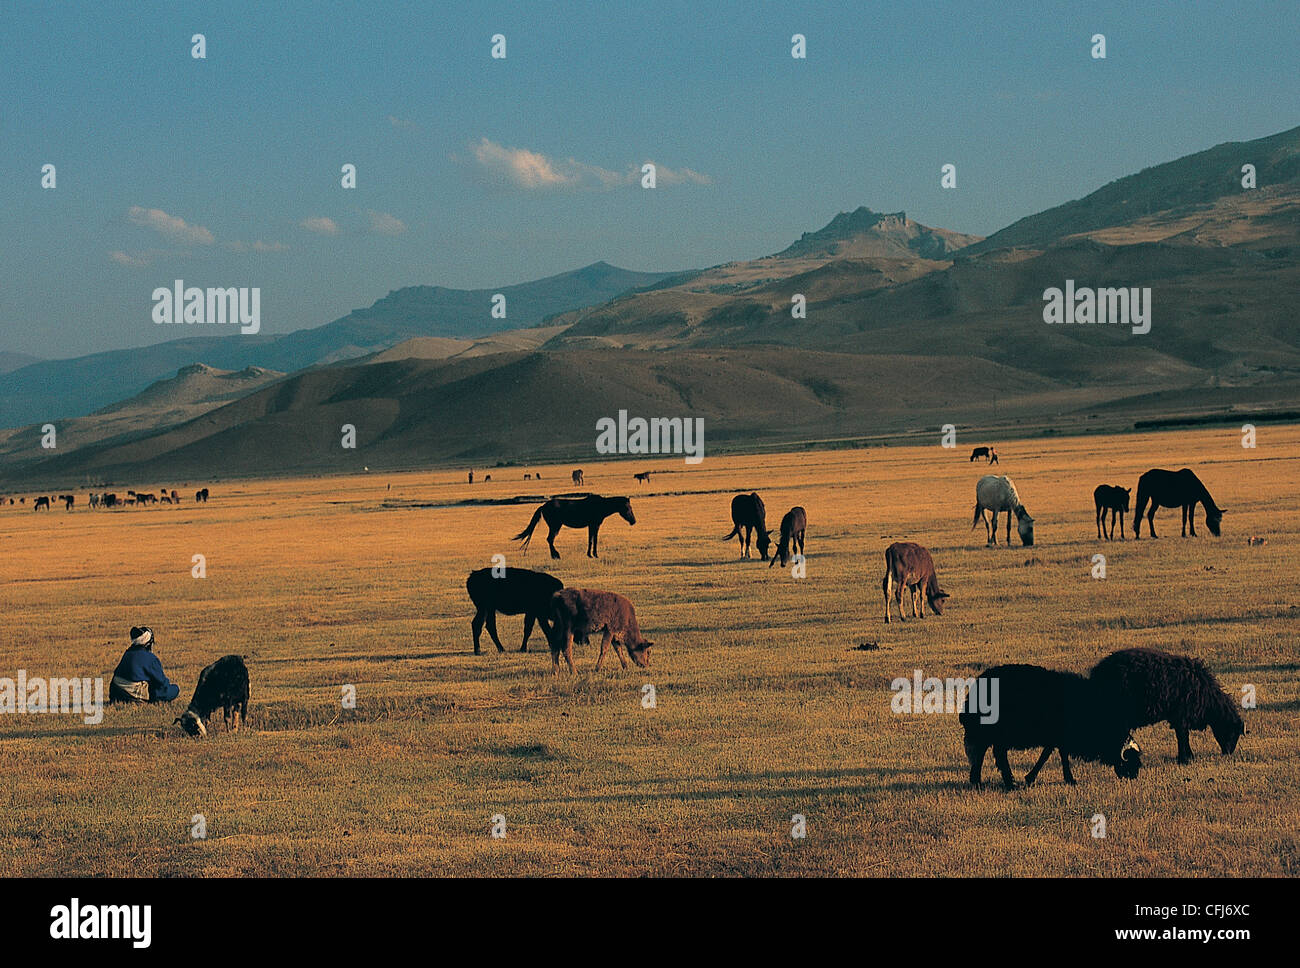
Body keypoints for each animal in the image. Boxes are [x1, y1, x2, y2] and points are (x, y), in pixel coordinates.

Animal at [961, 660, 1144, 789]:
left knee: (985, 753)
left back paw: (980, 780)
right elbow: (1050, 756)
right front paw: (1040, 778)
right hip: (996, 732)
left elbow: (1054, 754)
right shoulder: (1058, 736)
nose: (1133, 777)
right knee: (996, 755)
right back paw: (1006, 783)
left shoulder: (1058, 737)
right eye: (1129, 761)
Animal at [1092, 649, 1242, 764]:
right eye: (1233, 732)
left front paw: (1188, 757)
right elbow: (1182, 736)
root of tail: (1098, 671)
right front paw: (1185, 759)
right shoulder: (1181, 716)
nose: (1228, 753)